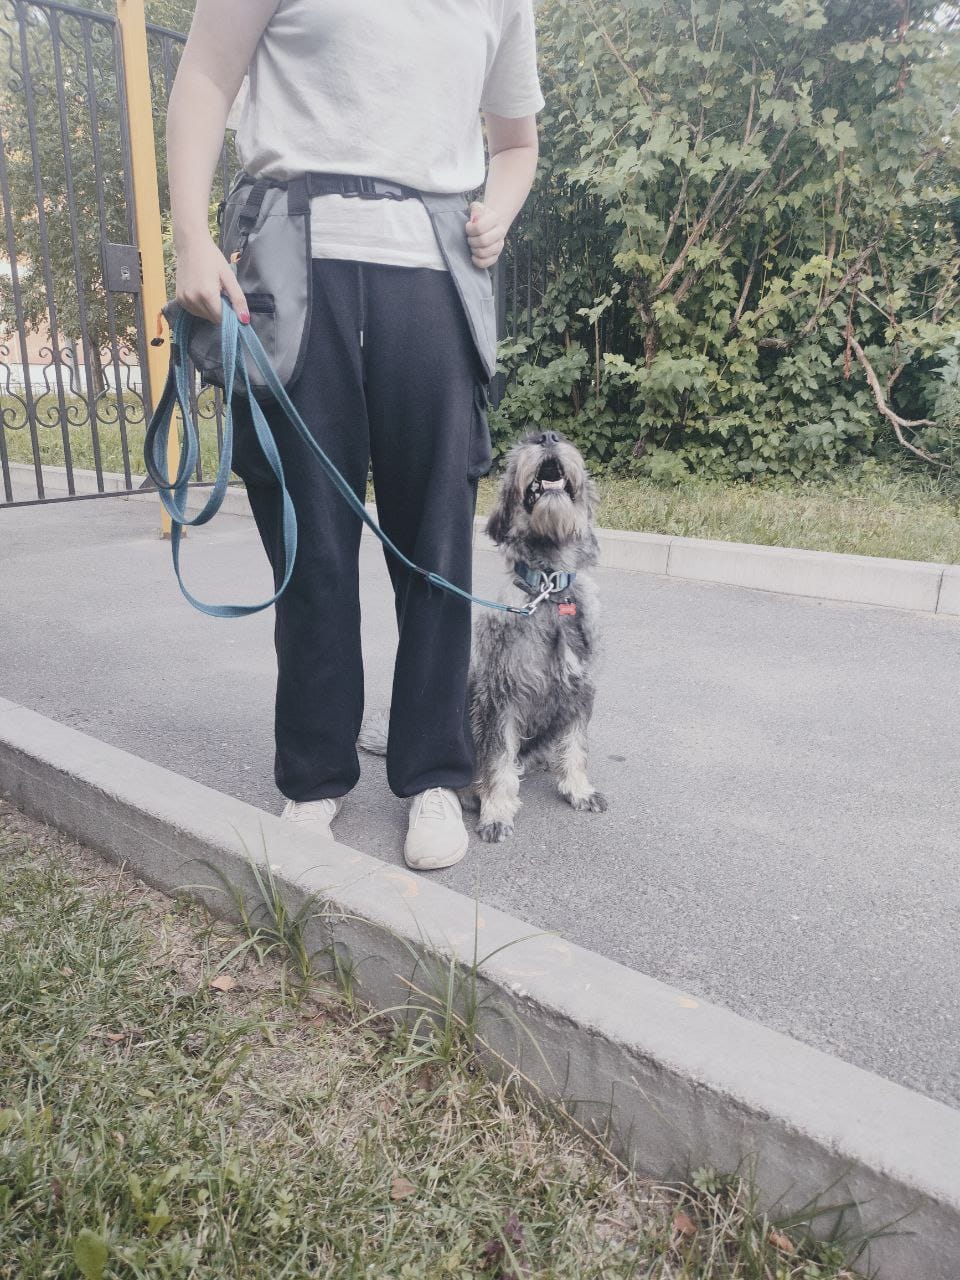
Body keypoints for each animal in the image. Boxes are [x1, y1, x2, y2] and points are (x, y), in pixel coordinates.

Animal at [358, 429, 606, 841]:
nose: (547, 436)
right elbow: (497, 762)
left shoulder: (579, 693)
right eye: (522, 447)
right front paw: (497, 812)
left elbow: (576, 747)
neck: (548, 590)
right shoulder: (500, 700)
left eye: (561, 438)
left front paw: (579, 789)